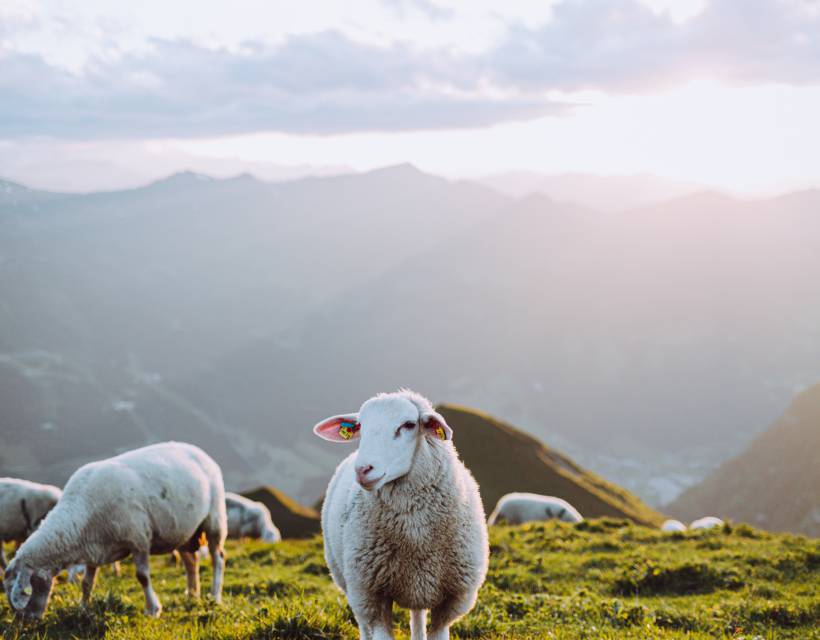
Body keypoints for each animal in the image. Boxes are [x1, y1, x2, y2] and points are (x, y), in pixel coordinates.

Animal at [3, 442, 227, 621]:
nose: (27, 623)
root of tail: (198, 451)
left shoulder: (139, 539)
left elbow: (142, 576)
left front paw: (153, 609)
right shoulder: (93, 549)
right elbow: (87, 583)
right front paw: (82, 608)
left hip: (215, 518)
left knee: (218, 559)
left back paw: (215, 596)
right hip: (182, 531)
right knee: (191, 562)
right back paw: (192, 595)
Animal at [314, 389, 489, 640]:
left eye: (408, 425)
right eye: (360, 427)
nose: (363, 470)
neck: (416, 535)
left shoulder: (452, 601)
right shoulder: (372, 596)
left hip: (420, 588)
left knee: (417, 618)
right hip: (348, 581)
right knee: (363, 624)